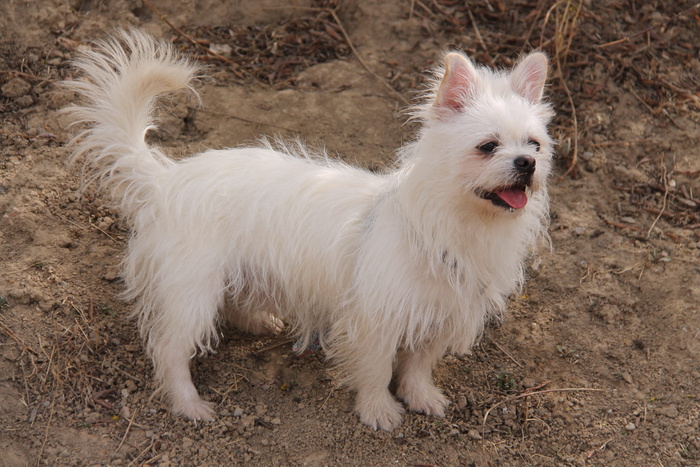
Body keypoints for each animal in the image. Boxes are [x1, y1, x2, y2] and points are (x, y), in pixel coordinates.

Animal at [67, 29, 556, 432]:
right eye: (487, 146)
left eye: (534, 145)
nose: (526, 164)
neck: (458, 223)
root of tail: (166, 178)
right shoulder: (374, 319)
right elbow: (378, 369)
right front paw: (378, 410)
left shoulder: (442, 313)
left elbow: (419, 364)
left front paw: (421, 397)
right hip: (190, 293)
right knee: (170, 351)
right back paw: (188, 404)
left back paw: (258, 321)